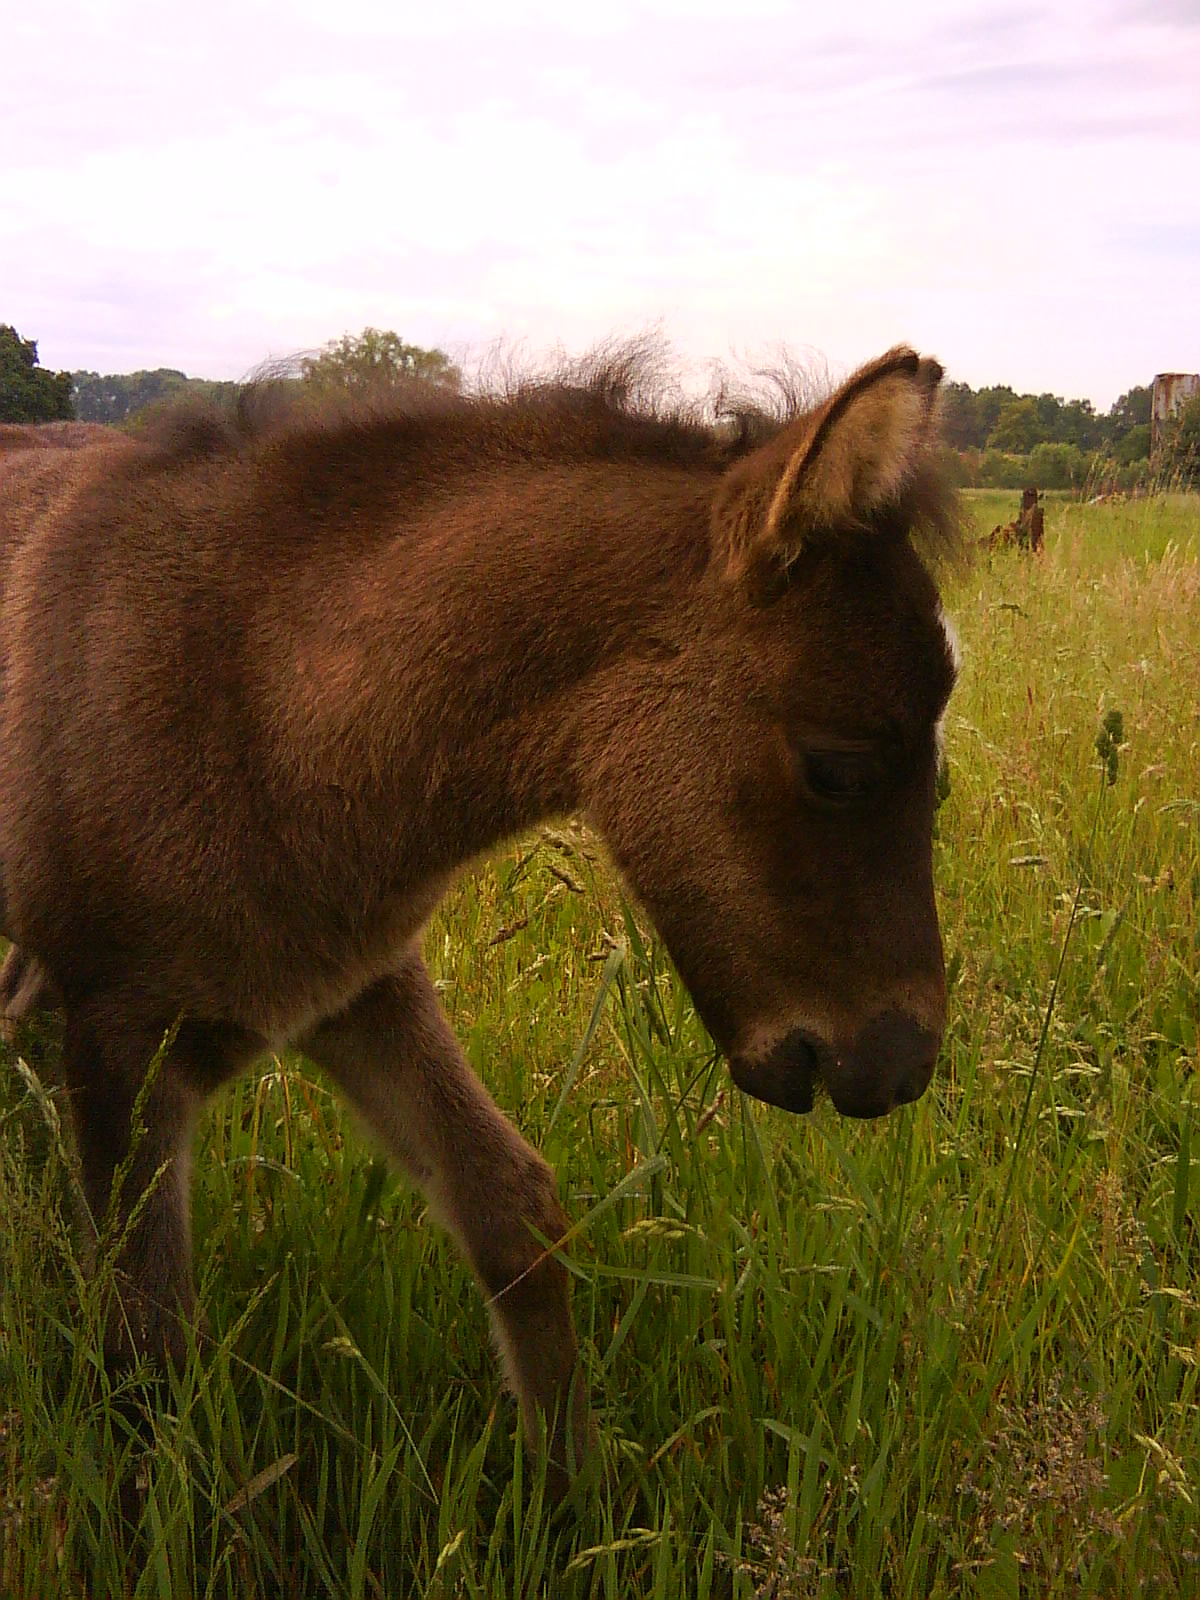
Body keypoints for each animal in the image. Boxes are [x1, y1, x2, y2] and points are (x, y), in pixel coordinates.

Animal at [0, 344, 960, 1491]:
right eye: (840, 766)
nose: (899, 1065)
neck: (260, 705)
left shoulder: (357, 987)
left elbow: (513, 1208)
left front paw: (574, 1494)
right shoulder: (120, 1040)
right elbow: (143, 1356)